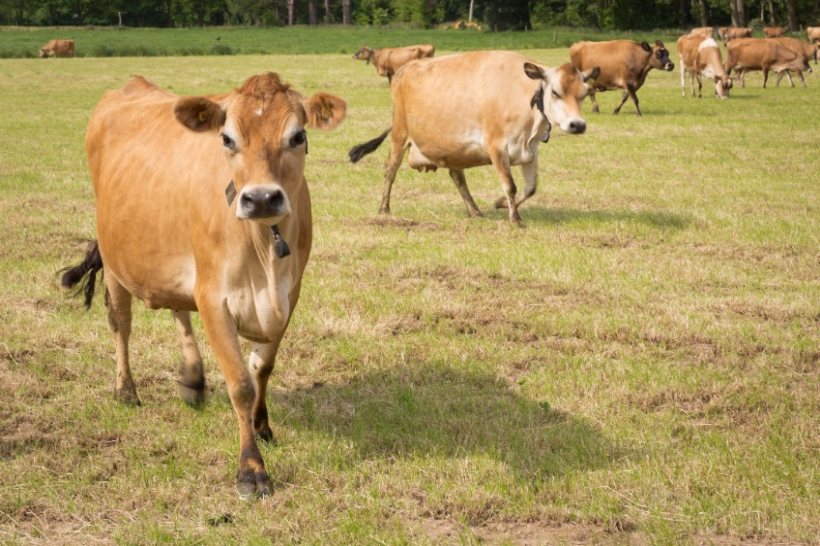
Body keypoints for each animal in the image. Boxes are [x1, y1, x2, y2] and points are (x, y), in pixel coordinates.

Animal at [60, 73, 346, 499]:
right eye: (227, 138)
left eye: (298, 136)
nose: (262, 198)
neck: (264, 247)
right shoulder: (214, 298)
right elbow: (241, 383)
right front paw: (251, 469)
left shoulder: (289, 295)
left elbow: (262, 366)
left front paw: (262, 425)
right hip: (114, 262)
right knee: (120, 324)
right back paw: (126, 390)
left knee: (178, 309)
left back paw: (192, 378)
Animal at [347, 51, 597, 224]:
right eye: (555, 92)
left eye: (584, 94)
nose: (577, 125)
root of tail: (403, 70)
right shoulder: (496, 147)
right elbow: (510, 185)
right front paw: (515, 218)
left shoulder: (530, 151)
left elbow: (530, 188)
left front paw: (501, 204)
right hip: (400, 134)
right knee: (390, 171)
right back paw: (384, 209)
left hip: (450, 148)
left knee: (457, 177)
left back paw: (474, 210)